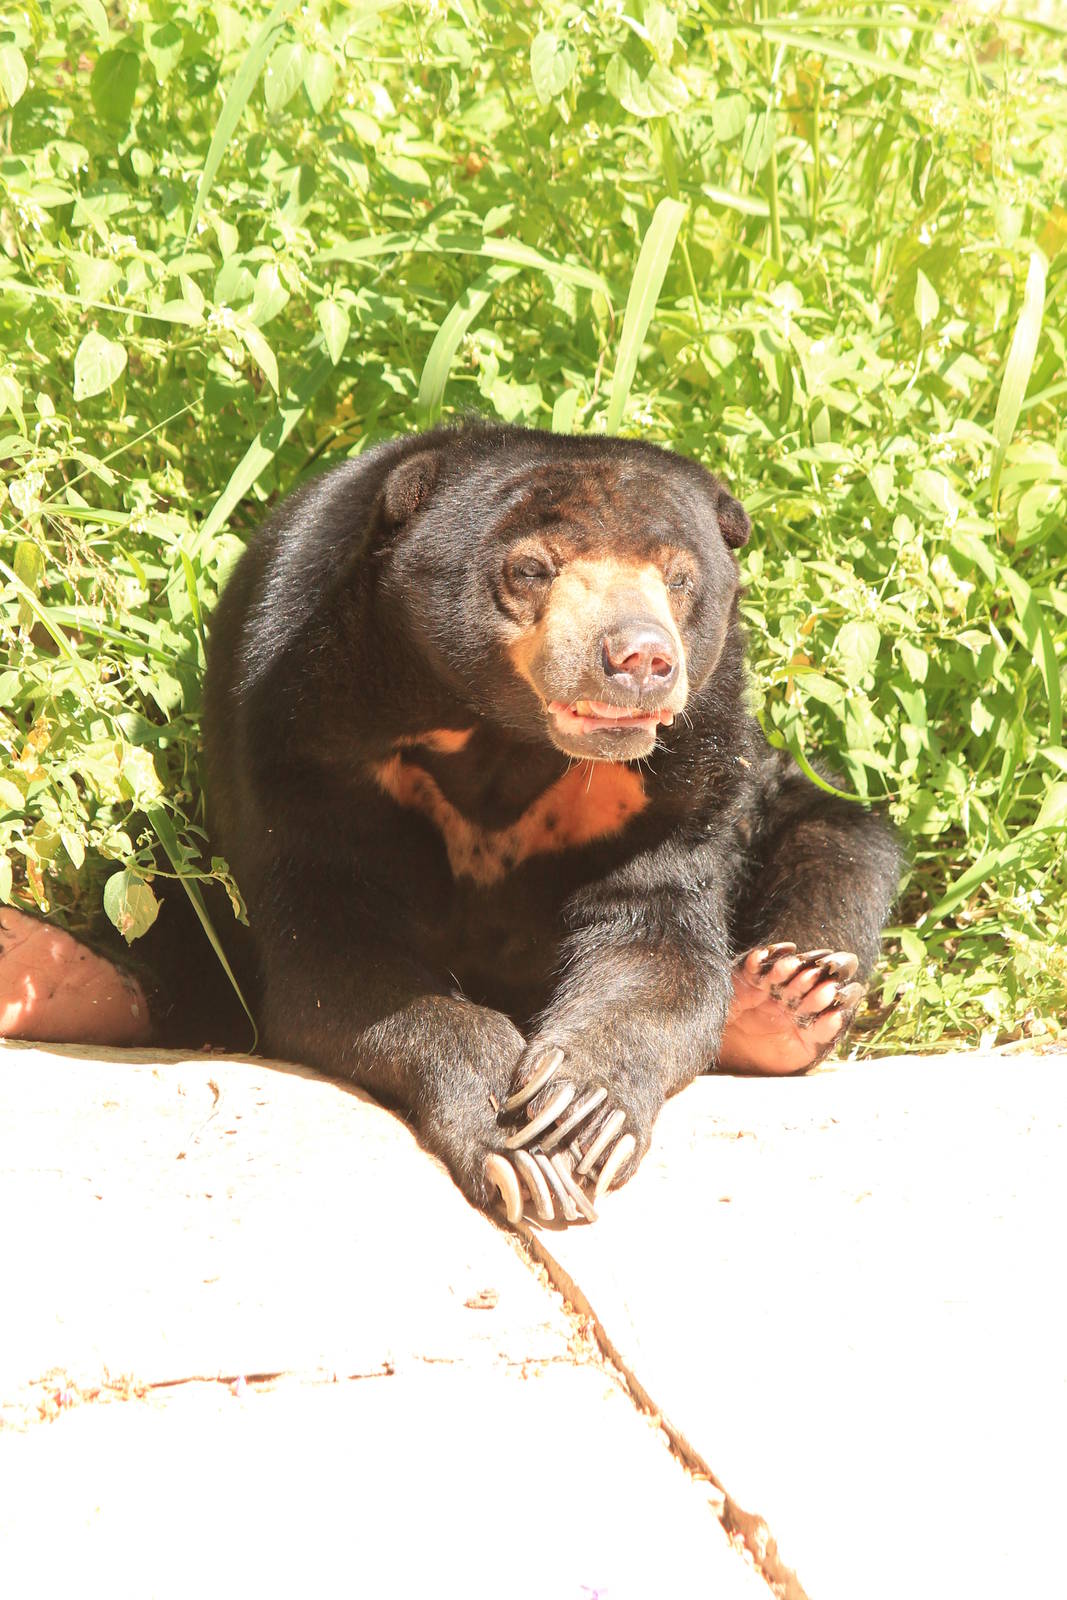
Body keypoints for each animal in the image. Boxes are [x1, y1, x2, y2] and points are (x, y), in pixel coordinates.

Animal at [201, 421, 900, 1224]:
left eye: (680, 579)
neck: (504, 735)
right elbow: (334, 952)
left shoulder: (682, 781)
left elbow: (656, 944)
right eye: (531, 568)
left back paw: (786, 995)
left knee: (841, 840)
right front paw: (515, 1148)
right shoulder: (302, 740)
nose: (641, 657)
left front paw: (576, 1112)